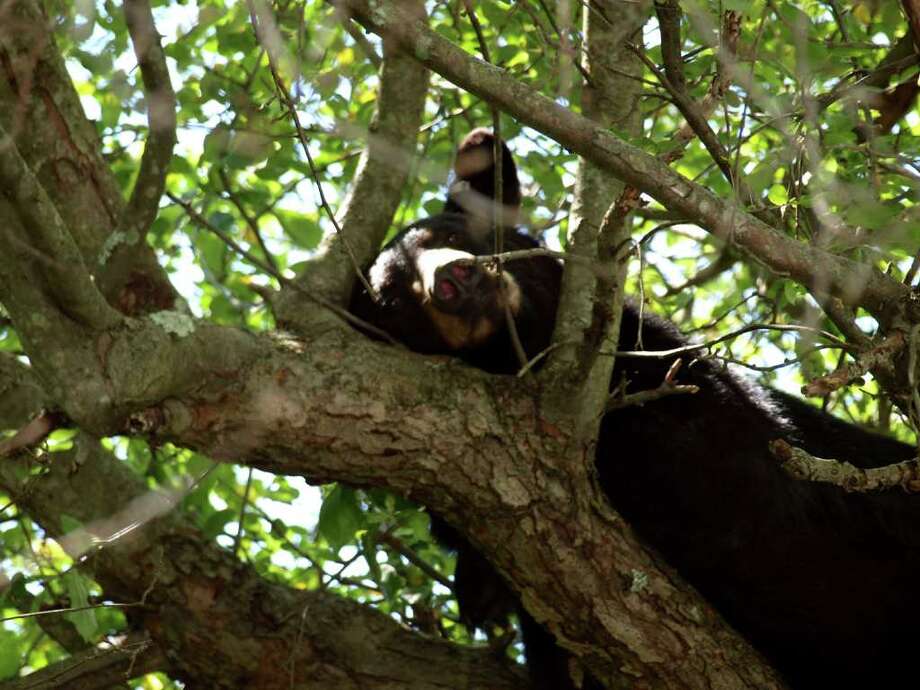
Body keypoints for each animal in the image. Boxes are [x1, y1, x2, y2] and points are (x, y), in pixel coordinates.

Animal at [349, 129, 920, 690]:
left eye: (457, 236)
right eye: (395, 296)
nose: (453, 279)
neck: (526, 352)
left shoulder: (700, 406)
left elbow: (708, 463)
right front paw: (479, 583)